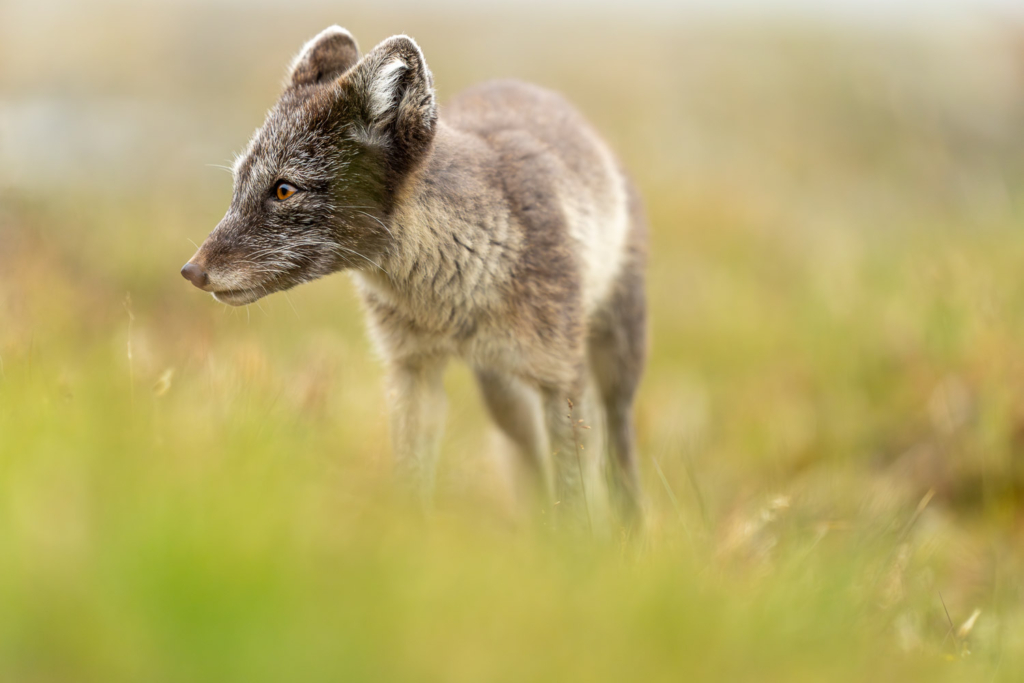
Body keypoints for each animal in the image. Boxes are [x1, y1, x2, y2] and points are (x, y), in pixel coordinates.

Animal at [182, 26, 647, 528]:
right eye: (238, 185)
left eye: (284, 190)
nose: (191, 271)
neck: (451, 300)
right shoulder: (411, 371)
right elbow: (410, 479)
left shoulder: (561, 380)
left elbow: (575, 498)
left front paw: (579, 547)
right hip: (500, 394)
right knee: (529, 457)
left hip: (613, 364)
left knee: (616, 446)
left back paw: (628, 527)